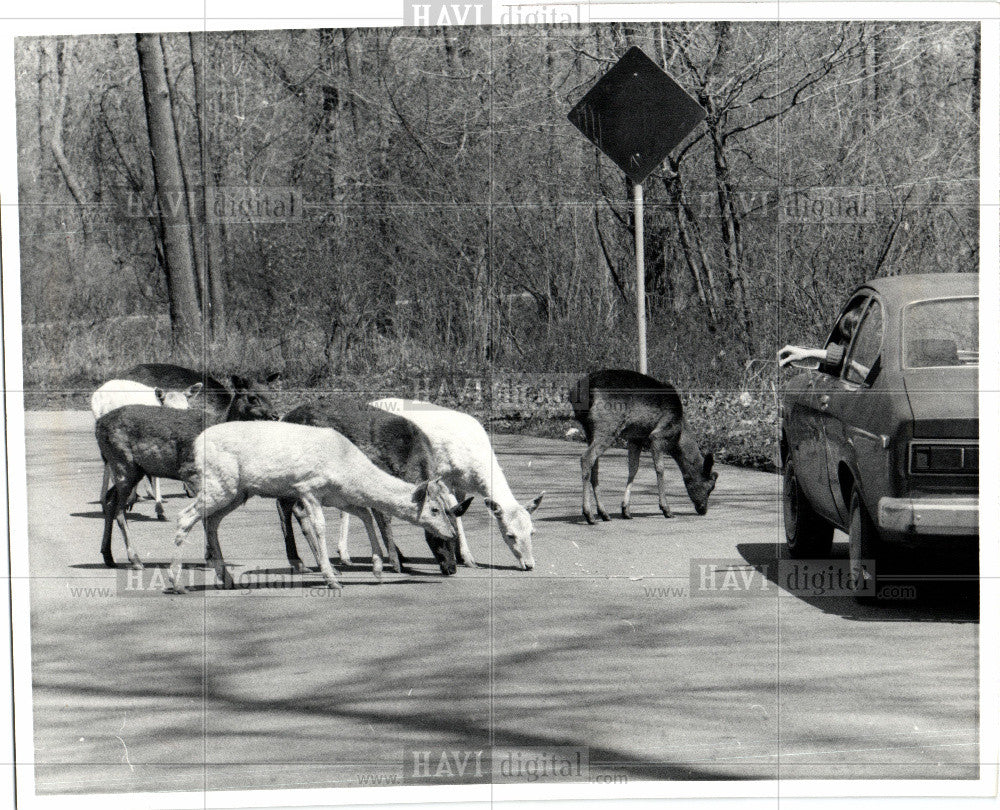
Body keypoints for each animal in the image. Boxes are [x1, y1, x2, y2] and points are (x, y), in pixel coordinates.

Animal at [572, 368, 720, 524]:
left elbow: (633, 468)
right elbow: (660, 469)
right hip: (607, 426)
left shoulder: (635, 438)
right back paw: (589, 514)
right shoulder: (658, 436)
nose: (703, 510)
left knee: (594, 465)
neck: (679, 435)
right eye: (711, 486)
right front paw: (666, 509)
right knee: (586, 458)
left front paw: (626, 510)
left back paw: (604, 513)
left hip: (590, 430)